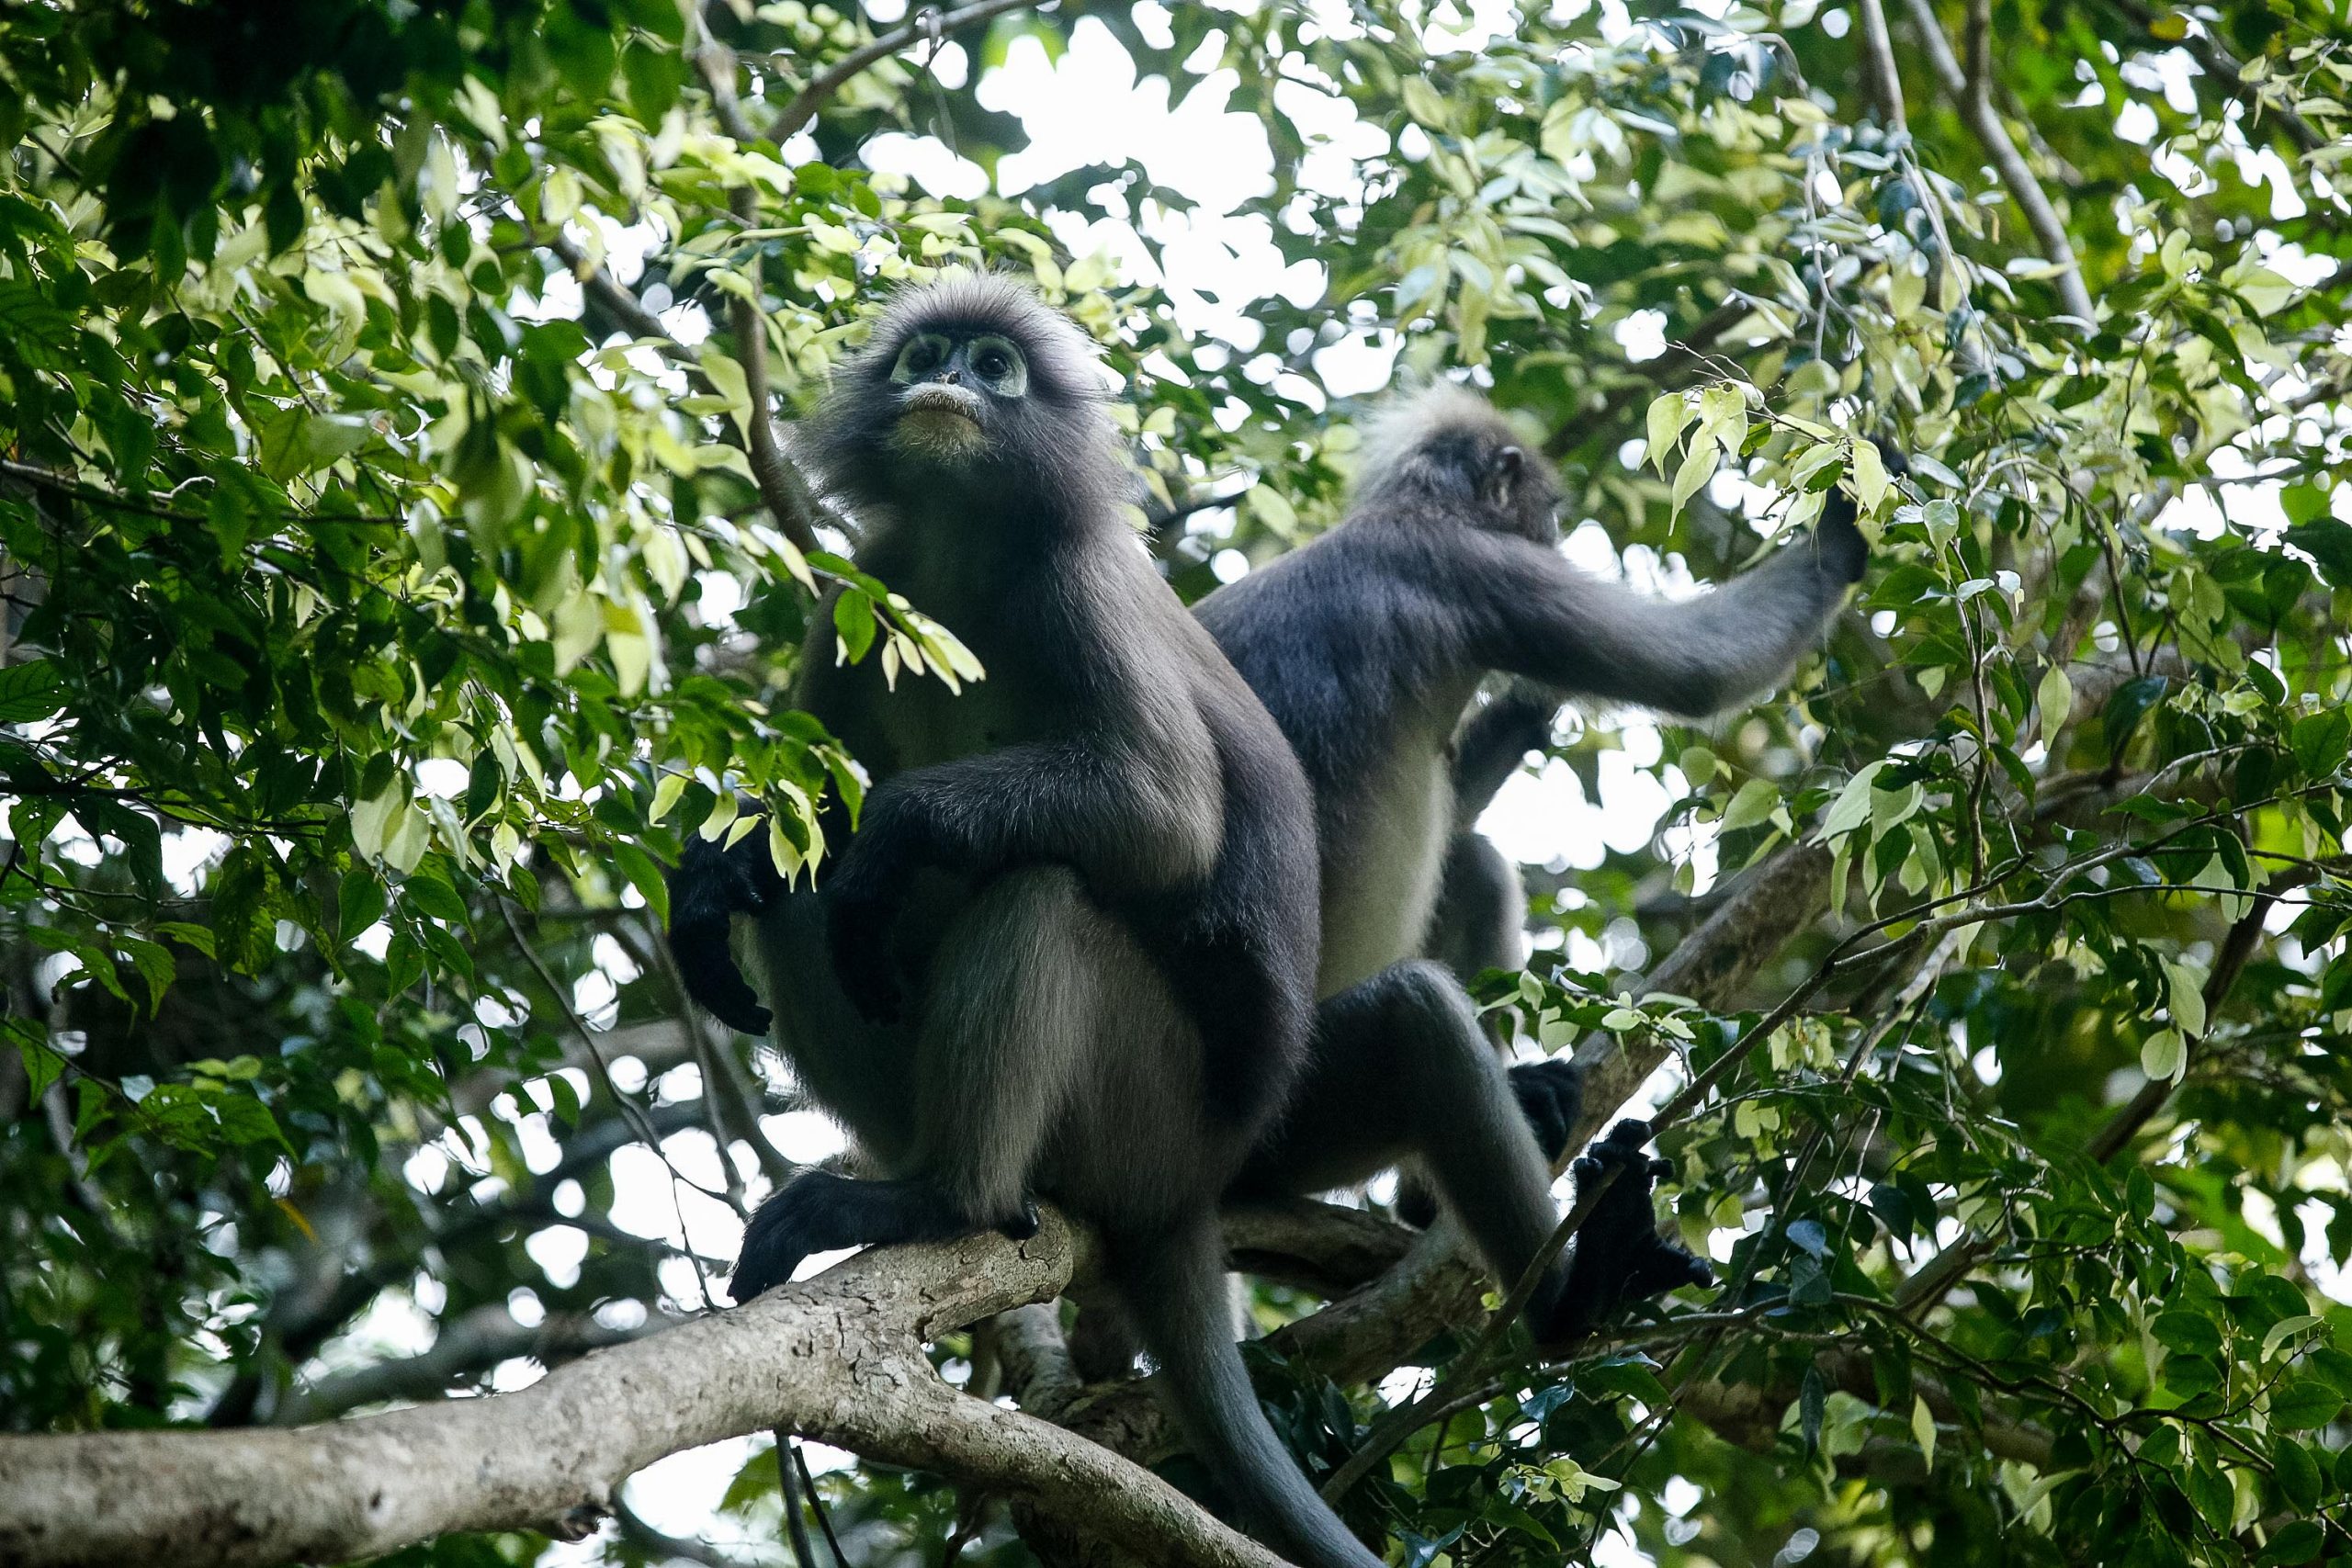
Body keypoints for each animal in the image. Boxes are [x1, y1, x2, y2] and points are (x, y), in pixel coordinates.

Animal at [668, 276, 1388, 1568]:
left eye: (995, 367)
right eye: (929, 356)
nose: (950, 381)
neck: (965, 547)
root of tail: (1198, 1183)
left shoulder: (1079, 586)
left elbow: (1168, 821)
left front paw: (900, 831)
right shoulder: (871, 584)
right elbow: (809, 815)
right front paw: (707, 885)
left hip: (1145, 1108)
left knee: (1042, 889)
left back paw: (942, 1199)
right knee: (807, 897)